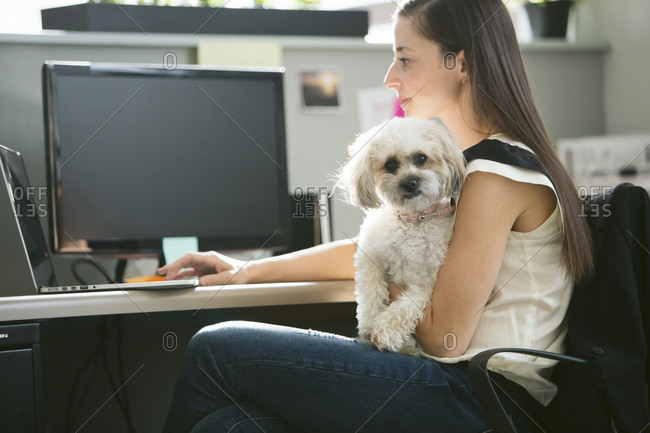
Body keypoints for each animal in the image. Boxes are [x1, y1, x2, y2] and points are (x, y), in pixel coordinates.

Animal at [340, 115, 466, 352]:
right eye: (390, 165)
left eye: (421, 158)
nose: (409, 183)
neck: (413, 220)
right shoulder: (369, 258)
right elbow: (371, 291)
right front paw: (369, 324)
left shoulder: (427, 283)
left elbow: (407, 306)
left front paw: (386, 331)